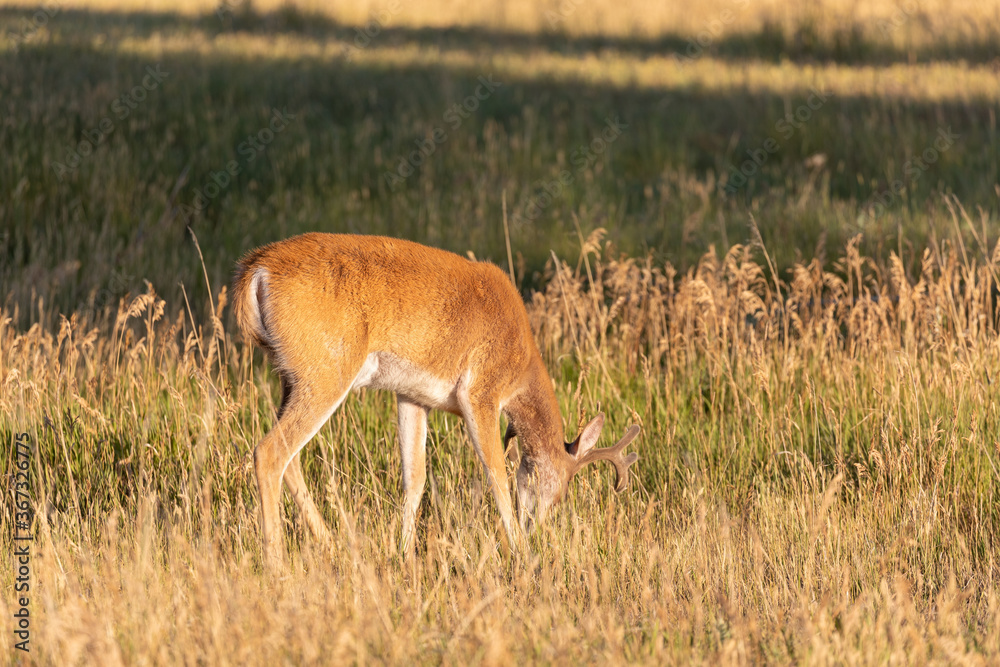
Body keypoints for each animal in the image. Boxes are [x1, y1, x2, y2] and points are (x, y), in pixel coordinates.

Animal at [232, 233, 640, 566]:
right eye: (558, 493)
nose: (534, 527)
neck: (521, 367)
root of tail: (256, 269)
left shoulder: (412, 396)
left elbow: (415, 478)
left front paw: (404, 553)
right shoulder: (481, 391)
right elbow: (496, 475)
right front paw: (521, 555)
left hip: (290, 376)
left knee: (290, 458)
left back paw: (333, 546)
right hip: (326, 371)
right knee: (270, 452)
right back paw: (276, 563)